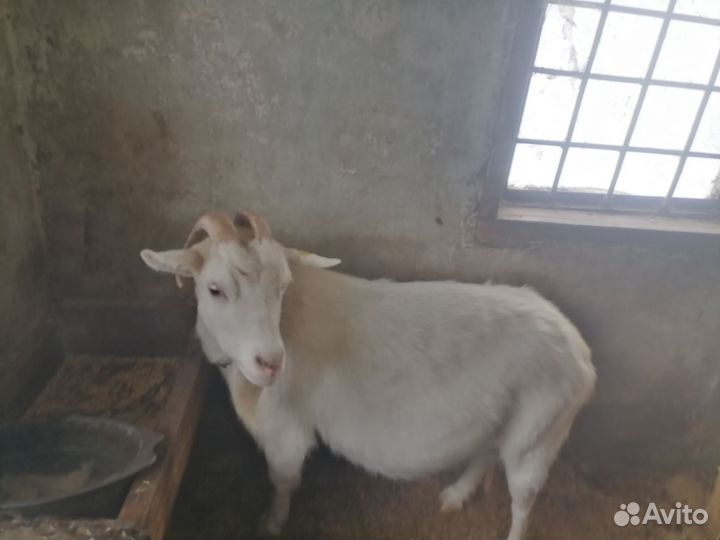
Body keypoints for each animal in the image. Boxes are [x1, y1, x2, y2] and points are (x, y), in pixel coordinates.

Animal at [140, 211, 596, 539]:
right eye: (214, 289)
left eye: (283, 288)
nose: (270, 362)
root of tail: (579, 351)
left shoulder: (286, 428)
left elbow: (282, 480)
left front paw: (271, 523)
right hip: (503, 418)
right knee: (486, 452)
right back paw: (454, 495)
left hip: (539, 431)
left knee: (523, 499)